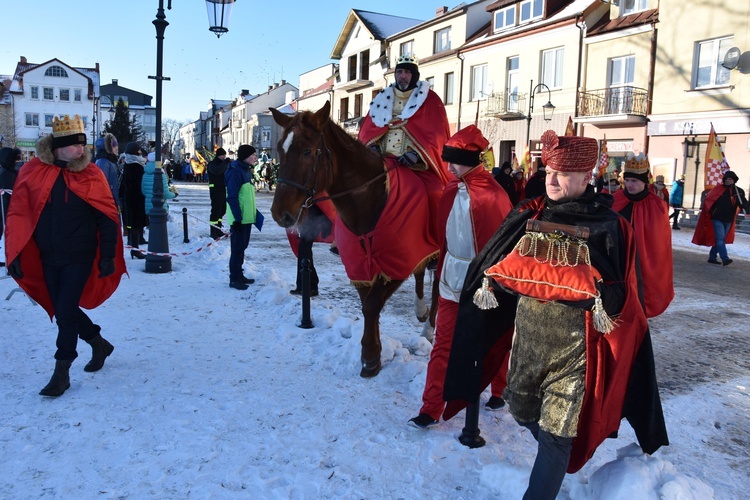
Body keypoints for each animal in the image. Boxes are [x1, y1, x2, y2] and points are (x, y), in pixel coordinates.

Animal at [270, 100, 438, 376]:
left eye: (307, 151)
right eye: (279, 151)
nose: (279, 213)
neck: (371, 198)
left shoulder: (398, 261)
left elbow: (372, 304)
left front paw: (370, 356)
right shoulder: (358, 262)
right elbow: (368, 303)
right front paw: (374, 351)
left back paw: (429, 326)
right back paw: (421, 310)